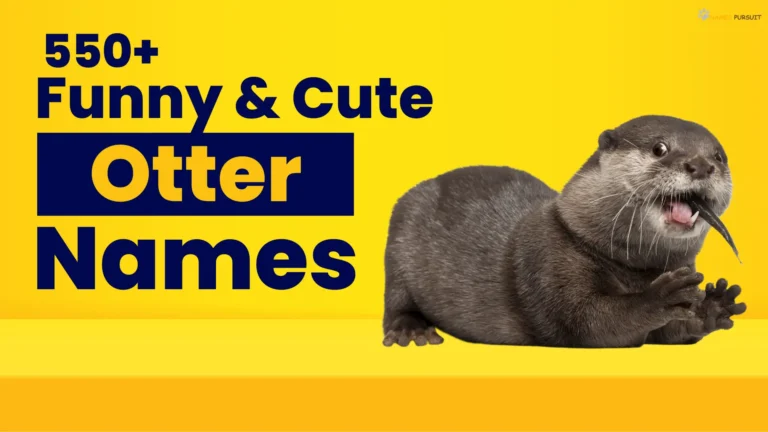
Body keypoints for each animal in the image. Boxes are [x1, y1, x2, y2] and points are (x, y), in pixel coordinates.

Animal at [383, 115, 746, 348]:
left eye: (719, 156)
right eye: (660, 148)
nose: (701, 165)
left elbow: (673, 334)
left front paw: (713, 305)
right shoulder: (549, 259)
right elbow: (586, 321)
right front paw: (658, 297)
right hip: (400, 232)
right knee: (395, 299)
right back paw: (410, 330)